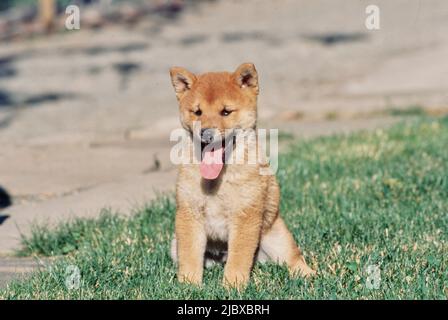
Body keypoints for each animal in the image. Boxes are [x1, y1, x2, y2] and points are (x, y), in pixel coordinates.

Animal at [168, 63, 316, 290]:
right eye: (197, 112)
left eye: (226, 111)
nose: (206, 133)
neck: (217, 182)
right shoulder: (189, 214)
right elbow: (190, 255)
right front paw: (188, 285)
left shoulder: (245, 215)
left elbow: (239, 257)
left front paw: (232, 285)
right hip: (174, 243)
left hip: (276, 236)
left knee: (294, 258)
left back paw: (307, 275)